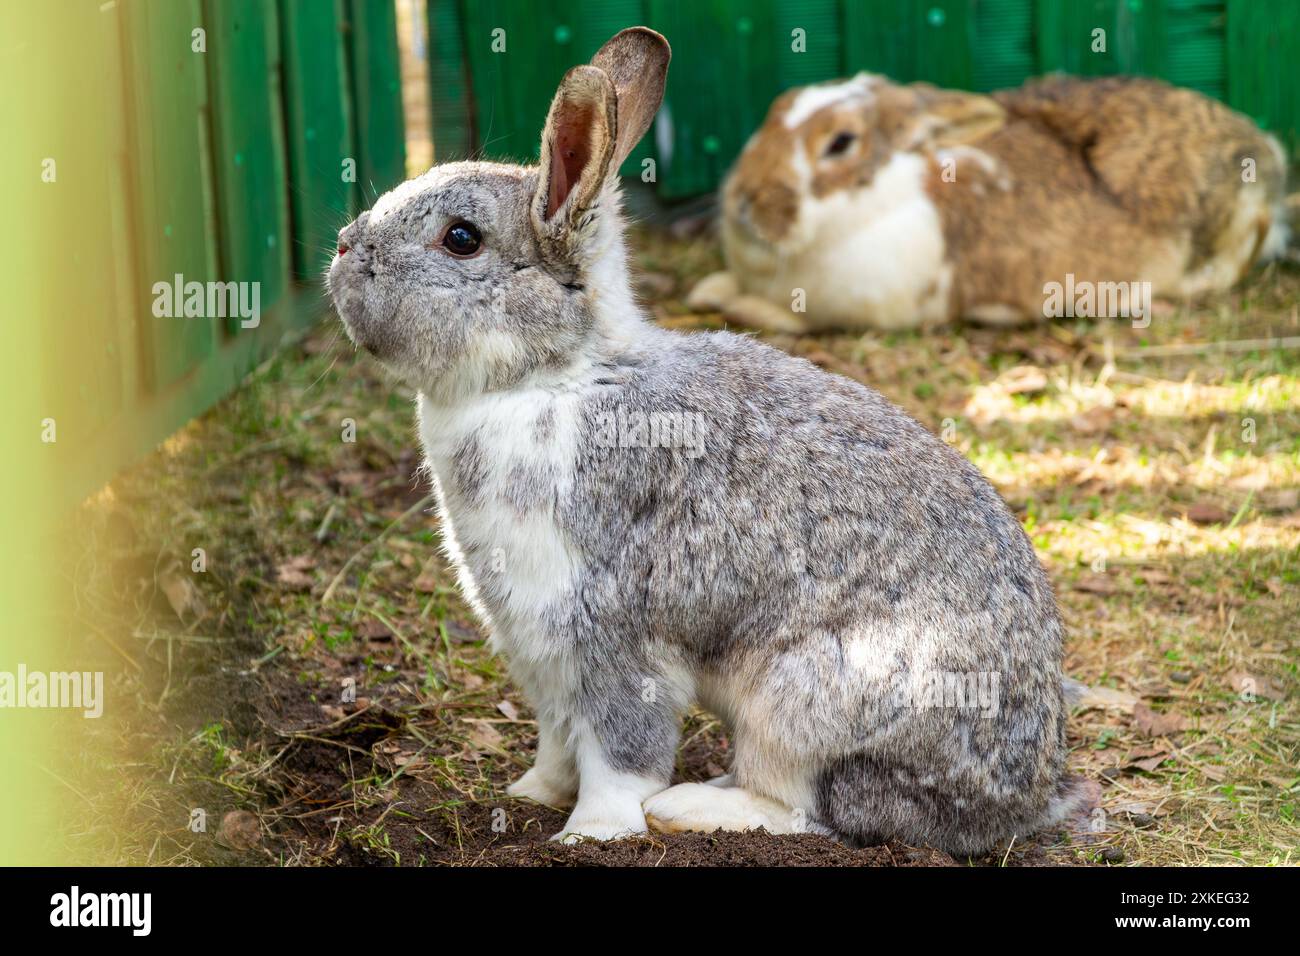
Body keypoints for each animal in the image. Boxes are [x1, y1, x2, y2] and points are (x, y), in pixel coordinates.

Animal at [327, 29, 1086, 858]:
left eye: (460, 239)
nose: (344, 248)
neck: (557, 377)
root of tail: (1017, 800)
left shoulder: (609, 632)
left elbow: (621, 751)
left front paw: (590, 834)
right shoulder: (539, 654)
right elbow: (558, 740)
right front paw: (531, 793)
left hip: (801, 698)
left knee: (805, 805)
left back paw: (693, 806)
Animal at [691, 72, 1289, 332]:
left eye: (841, 143)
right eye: (777, 108)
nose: (743, 200)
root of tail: (1266, 152)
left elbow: (778, 320)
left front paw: (718, 301)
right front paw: (708, 287)